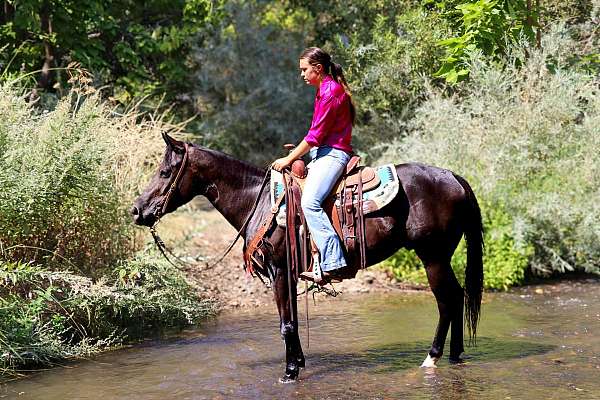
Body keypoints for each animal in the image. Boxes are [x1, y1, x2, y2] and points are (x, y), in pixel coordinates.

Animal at [131, 133, 482, 382]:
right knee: (458, 296)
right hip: (440, 257)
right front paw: (298, 362)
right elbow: (294, 321)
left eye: (165, 171)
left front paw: (289, 373)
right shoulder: (288, 274)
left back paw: (432, 358)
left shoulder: (278, 271)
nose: (137, 210)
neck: (258, 202)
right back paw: (455, 355)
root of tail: (454, 177)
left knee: (447, 300)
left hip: (432, 256)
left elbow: (286, 324)